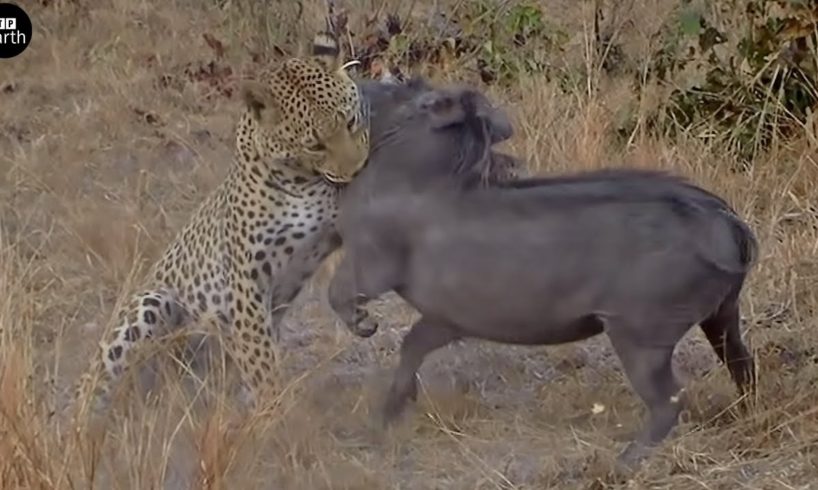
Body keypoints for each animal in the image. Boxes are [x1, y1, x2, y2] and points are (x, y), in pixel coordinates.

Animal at [74, 30, 371, 418]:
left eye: (350, 121)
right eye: (315, 145)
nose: (358, 170)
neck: (304, 181)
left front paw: (359, 317)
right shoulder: (246, 279)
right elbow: (260, 360)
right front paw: (274, 413)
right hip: (150, 303)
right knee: (93, 385)